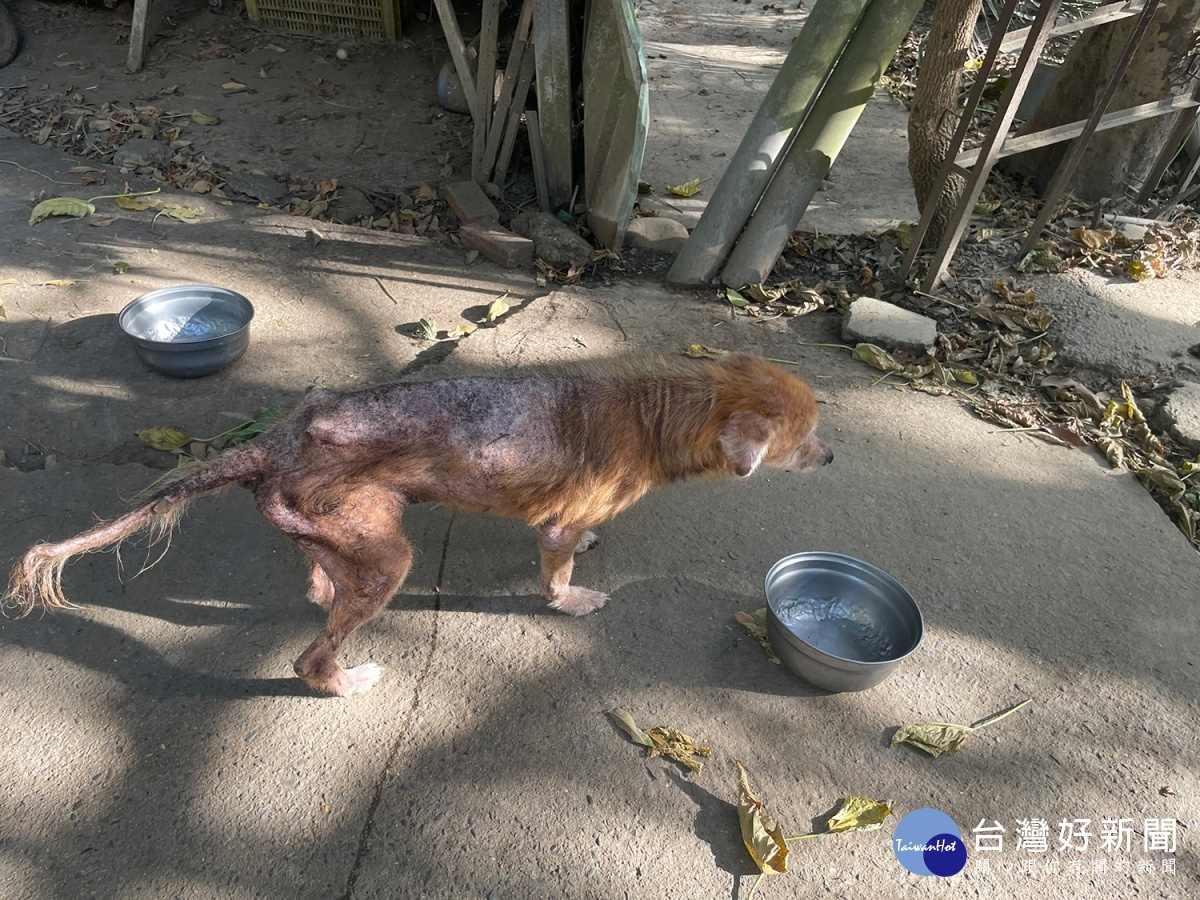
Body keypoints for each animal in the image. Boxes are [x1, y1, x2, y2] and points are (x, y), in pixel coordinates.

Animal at [7, 352, 835, 696]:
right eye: (803, 440)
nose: (832, 457)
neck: (656, 415)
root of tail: (278, 441)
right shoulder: (555, 531)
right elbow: (557, 576)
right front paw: (572, 601)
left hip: (336, 531)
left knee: (317, 574)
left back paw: (320, 589)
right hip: (387, 557)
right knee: (310, 660)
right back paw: (345, 681)